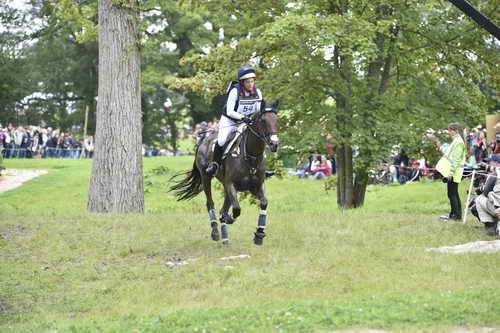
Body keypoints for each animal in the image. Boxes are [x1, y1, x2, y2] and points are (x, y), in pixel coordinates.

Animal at [169, 100, 280, 244]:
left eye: (277, 120)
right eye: (263, 121)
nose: (274, 144)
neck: (250, 156)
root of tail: (204, 139)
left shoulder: (256, 186)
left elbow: (264, 203)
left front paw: (259, 234)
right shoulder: (231, 184)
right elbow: (236, 209)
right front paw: (229, 219)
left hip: (225, 185)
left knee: (224, 208)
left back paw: (225, 236)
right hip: (206, 178)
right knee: (210, 203)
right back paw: (216, 232)